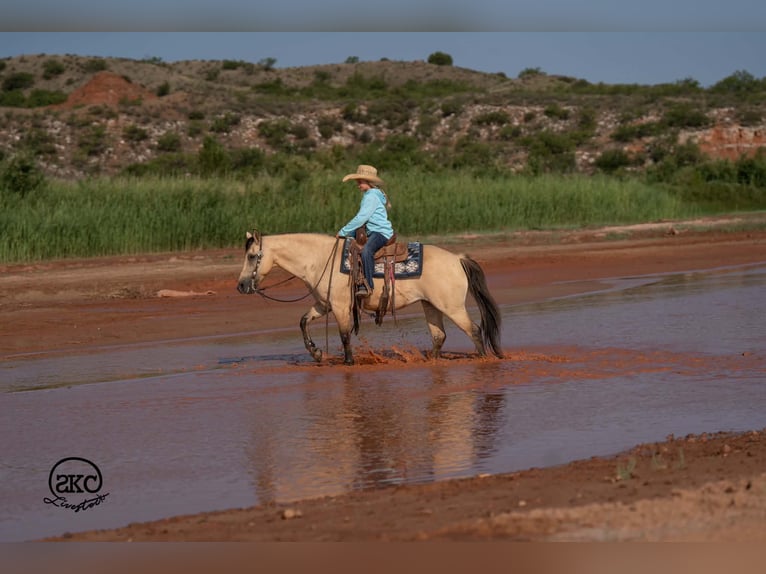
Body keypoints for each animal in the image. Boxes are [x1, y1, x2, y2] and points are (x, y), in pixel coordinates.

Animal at [236, 231, 503, 365]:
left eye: (252, 256)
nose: (240, 286)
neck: (319, 259)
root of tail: (457, 258)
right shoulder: (324, 305)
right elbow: (303, 321)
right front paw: (316, 353)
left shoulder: (341, 307)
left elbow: (344, 335)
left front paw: (348, 362)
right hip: (431, 305)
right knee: (439, 336)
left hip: (452, 307)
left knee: (474, 330)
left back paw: (484, 359)